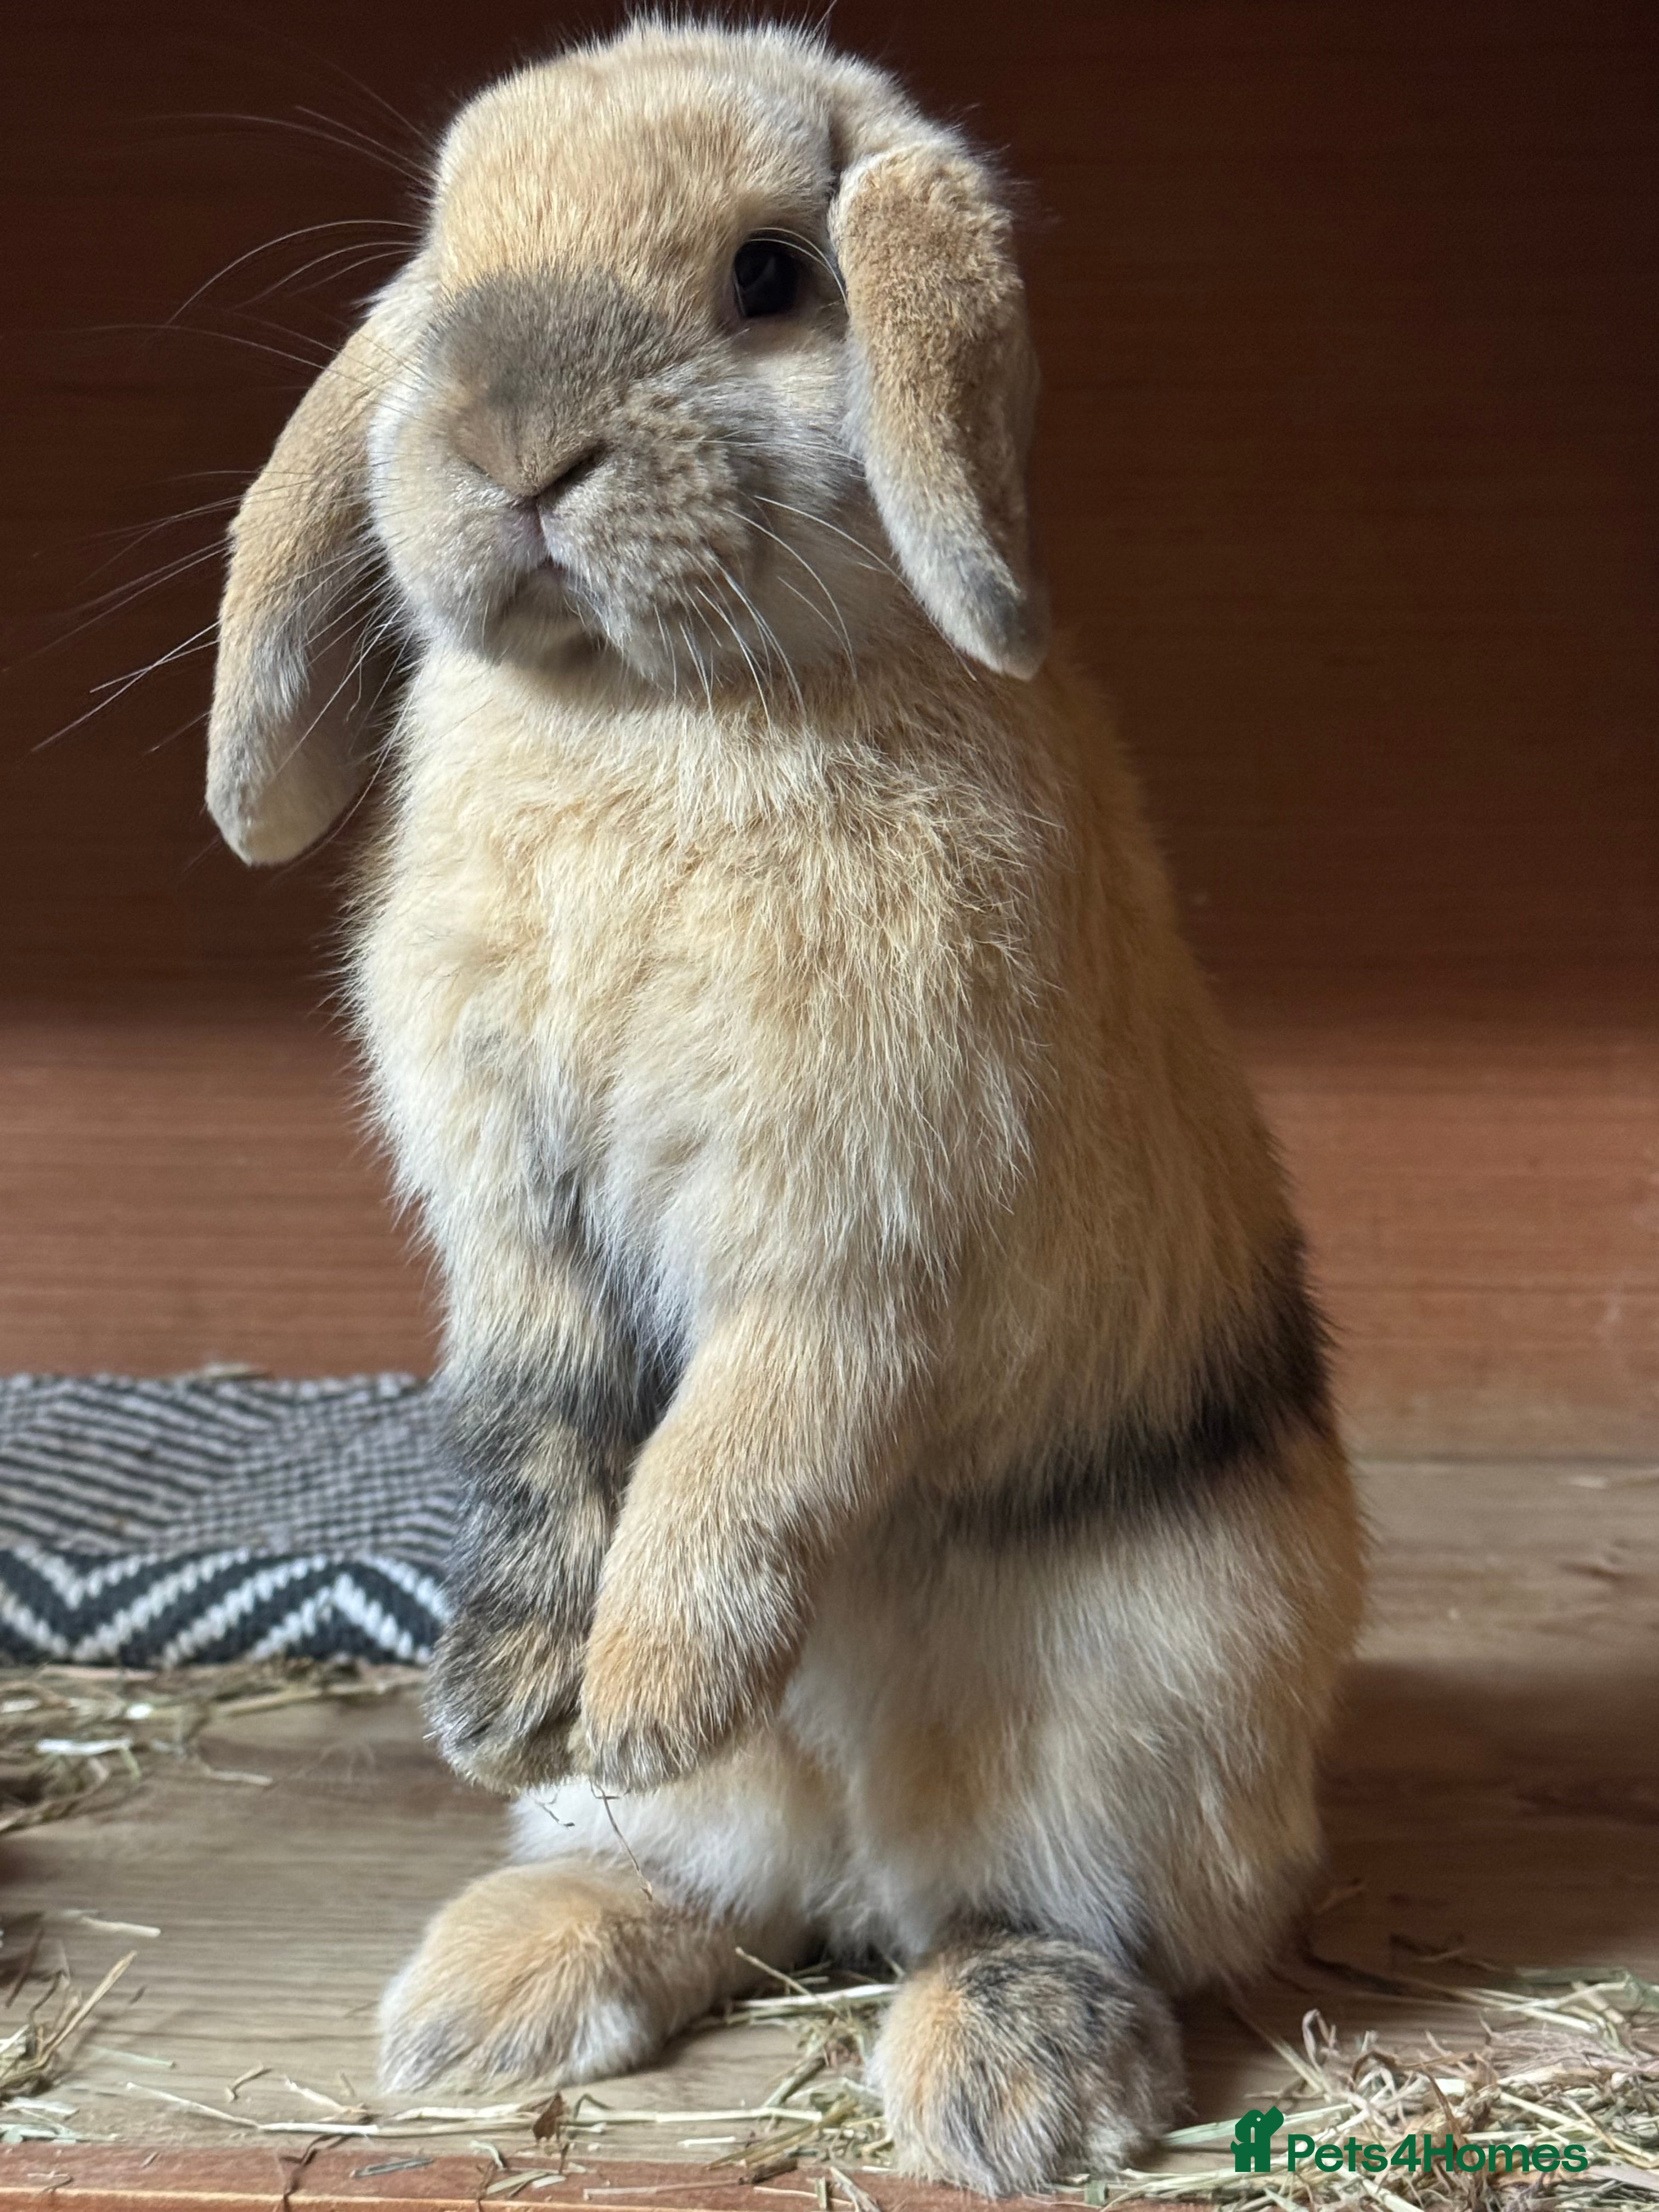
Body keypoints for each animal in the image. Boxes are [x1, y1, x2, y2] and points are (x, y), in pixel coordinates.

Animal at [205, 18, 1364, 2197]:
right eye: (446, 262)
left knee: (1049, 1914)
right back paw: (498, 1980)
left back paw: (1007, 2075)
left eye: (766, 276)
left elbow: (742, 1444)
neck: (648, 710)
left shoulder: (853, 1232)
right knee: (726, 1898)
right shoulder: (514, 1221)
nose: (508, 444)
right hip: (798, 1831)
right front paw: (504, 1699)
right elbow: (543, 1423)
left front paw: (650, 1684)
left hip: (1144, 1707)